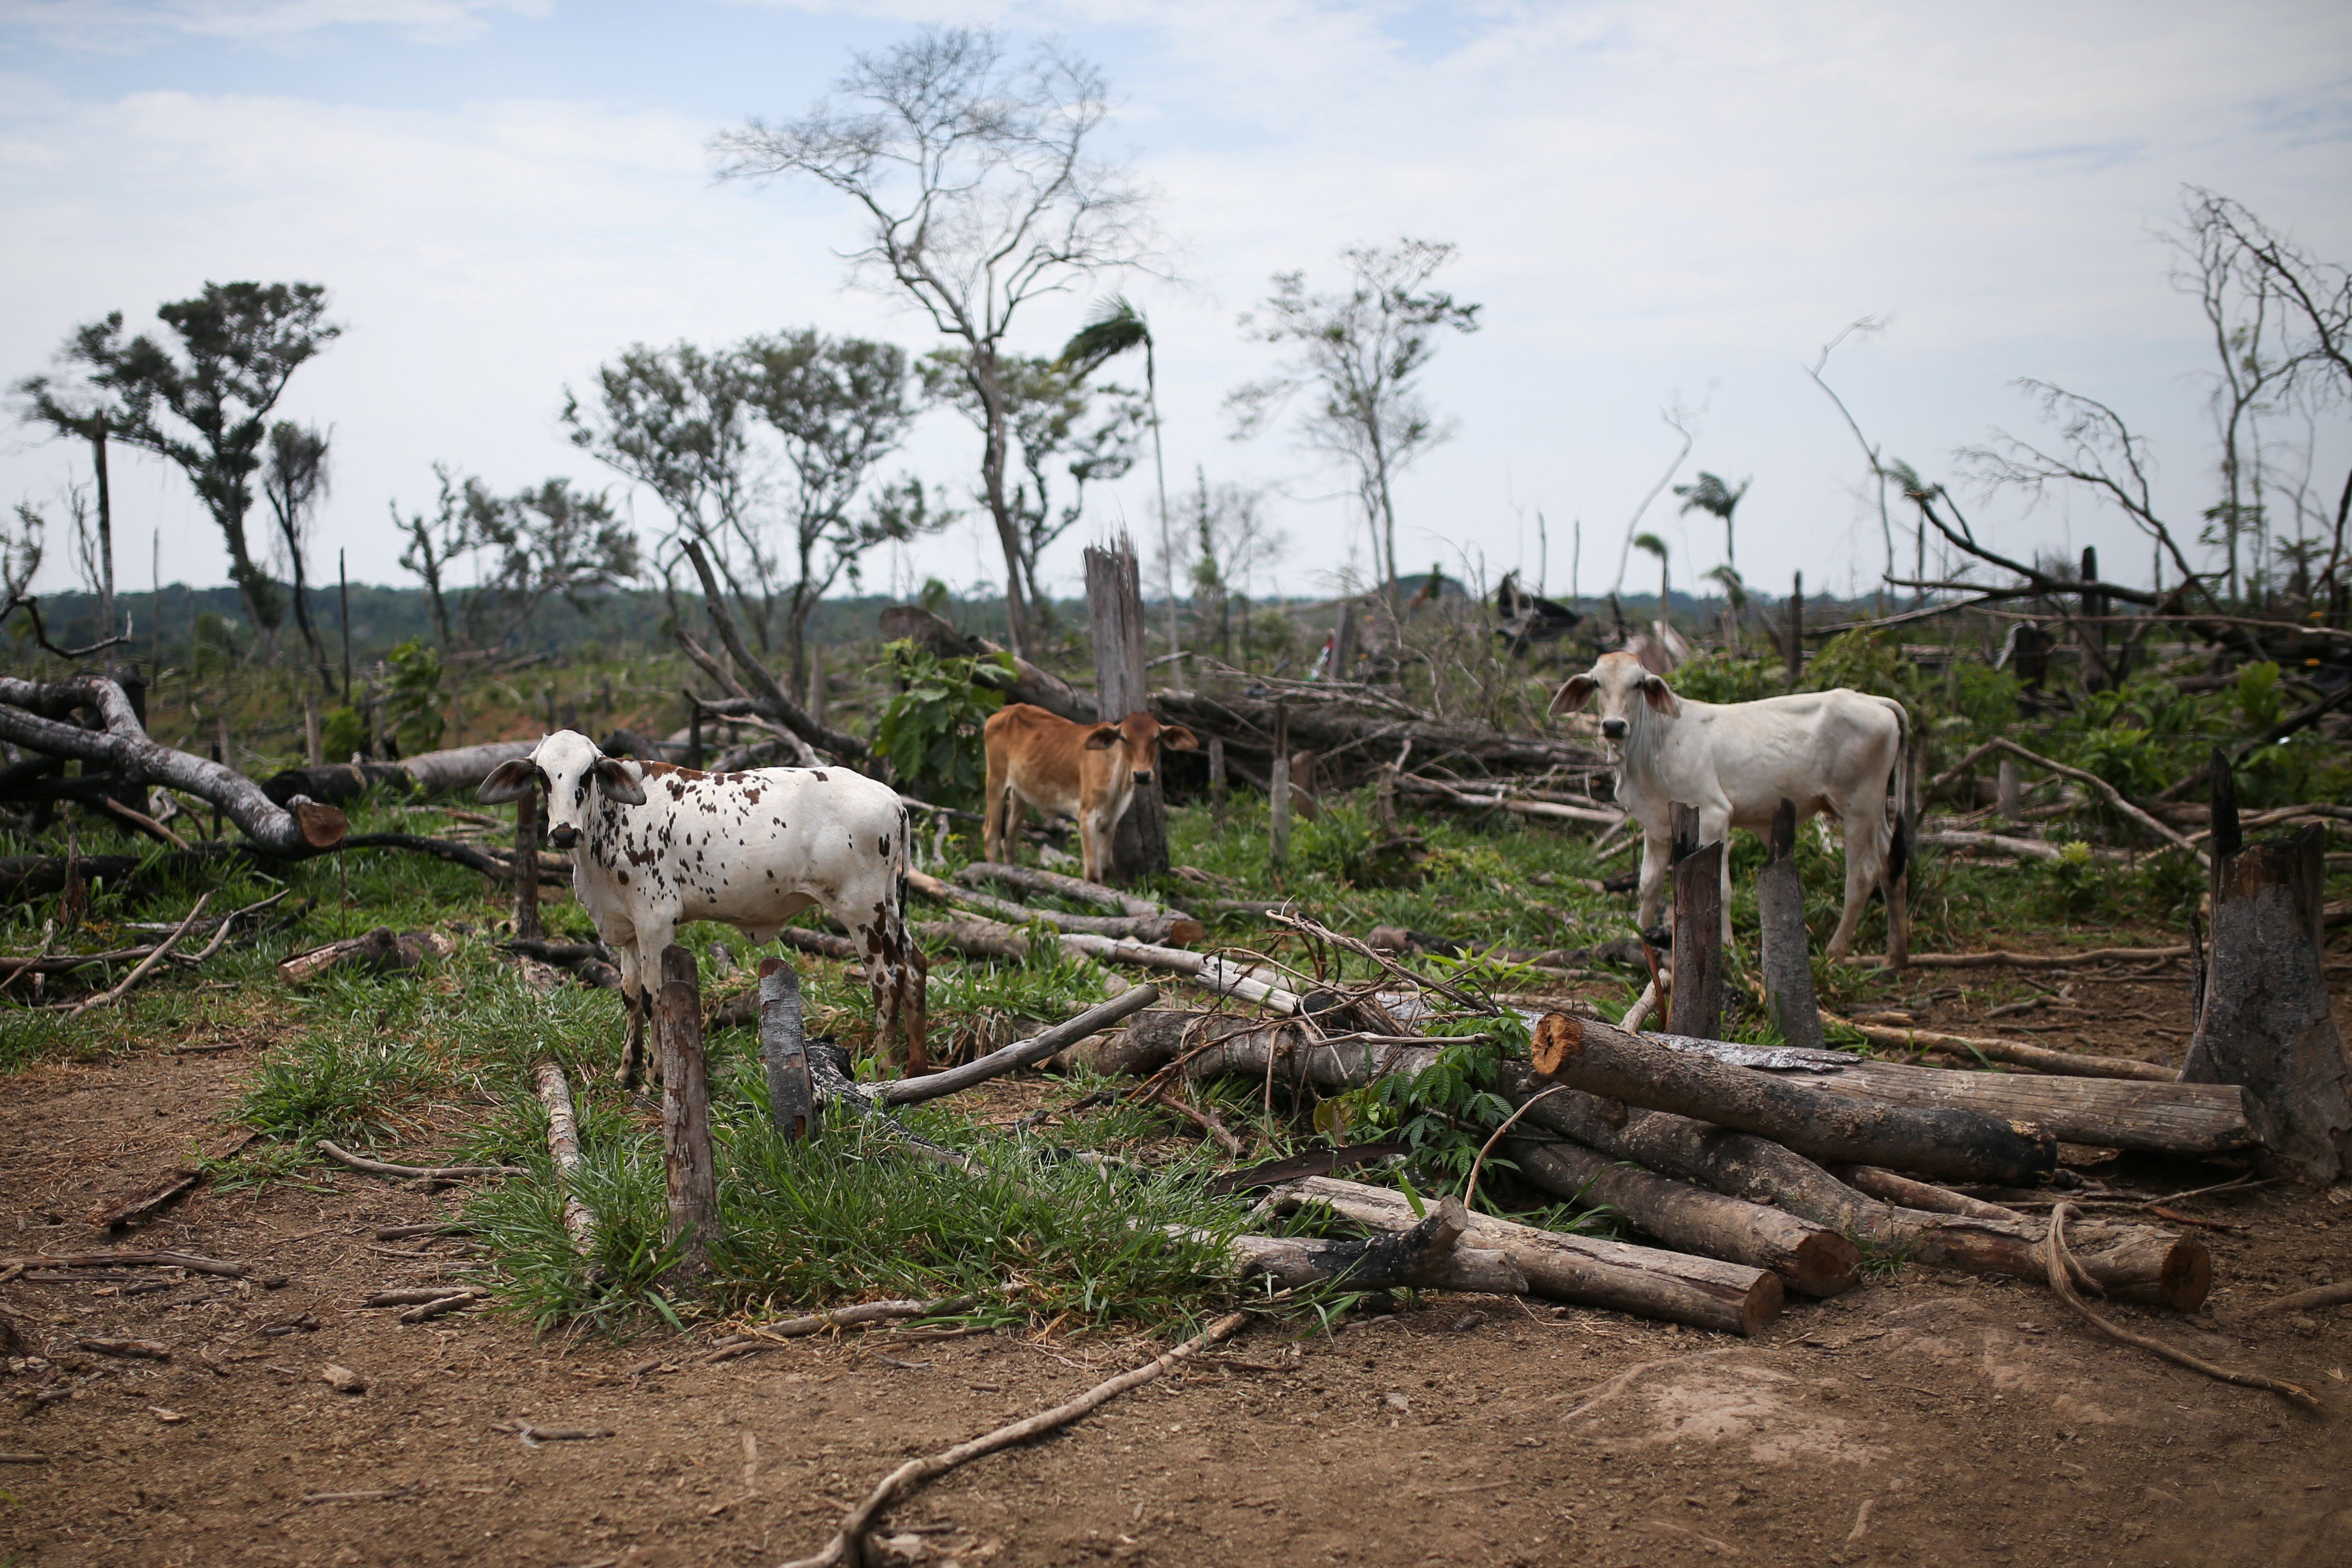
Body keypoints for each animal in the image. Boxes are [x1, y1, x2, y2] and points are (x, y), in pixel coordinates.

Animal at [484, 733, 926, 1081]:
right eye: (542, 776)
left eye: (588, 773)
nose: (563, 833)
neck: (612, 821)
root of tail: (892, 799)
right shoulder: (627, 929)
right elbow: (629, 995)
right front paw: (626, 1070)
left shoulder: (657, 921)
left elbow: (654, 996)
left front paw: (654, 1077)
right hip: (888, 906)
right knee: (915, 965)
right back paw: (916, 1067)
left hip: (861, 910)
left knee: (887, 978)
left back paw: (882, 1069)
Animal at [978, 700, 1194, 879]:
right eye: (1124, 738)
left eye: (1156, 738)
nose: (1142, 775)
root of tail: (1006, 710)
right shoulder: (1087, 816)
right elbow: (1092, 873)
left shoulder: (1112, 819)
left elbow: (1106, 869)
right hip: (996, 780)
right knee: (991, 835)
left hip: (1021, 793)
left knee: (1010, 839)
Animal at [1543, 649, 1909, 959]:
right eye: (1597, 683)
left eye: (1638, 684)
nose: (1614, 726)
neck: (1653, 744)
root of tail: (1874, 701)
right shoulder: (1657, 826)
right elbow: (1648, 885)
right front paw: (1637, 940)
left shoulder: (1714, 815)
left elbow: (1720, 890)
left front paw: (1727, 947)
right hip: (1874, 810)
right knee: (1892, 862)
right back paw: (1895, 955)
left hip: (1857, 807)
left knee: (1864, 873)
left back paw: (1836, 952)